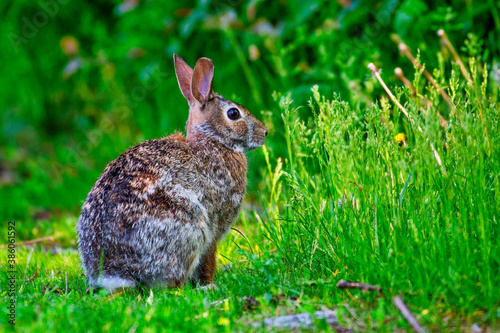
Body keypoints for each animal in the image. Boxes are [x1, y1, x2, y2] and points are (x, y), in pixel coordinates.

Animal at [76, 54, 268, 290]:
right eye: (233, 113)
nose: (264, 132)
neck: (212, 140)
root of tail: (117, 273)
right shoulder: (214, 226)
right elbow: (208, 259)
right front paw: (209, 284)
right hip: (188, 222)